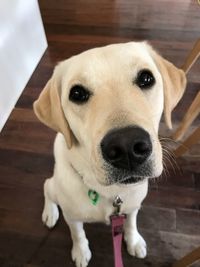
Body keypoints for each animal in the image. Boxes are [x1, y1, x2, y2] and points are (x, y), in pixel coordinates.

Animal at [33, 42, 186, 267]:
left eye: (146, 78)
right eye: (77, 93)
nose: (126, 146)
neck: (112, 192)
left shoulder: (132, 206)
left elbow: (131, 223)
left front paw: (133, 241)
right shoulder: (72, 217)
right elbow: (77, 234)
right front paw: (81, 252)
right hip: (55, 188)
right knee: (46, 186)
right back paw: (49, 213)